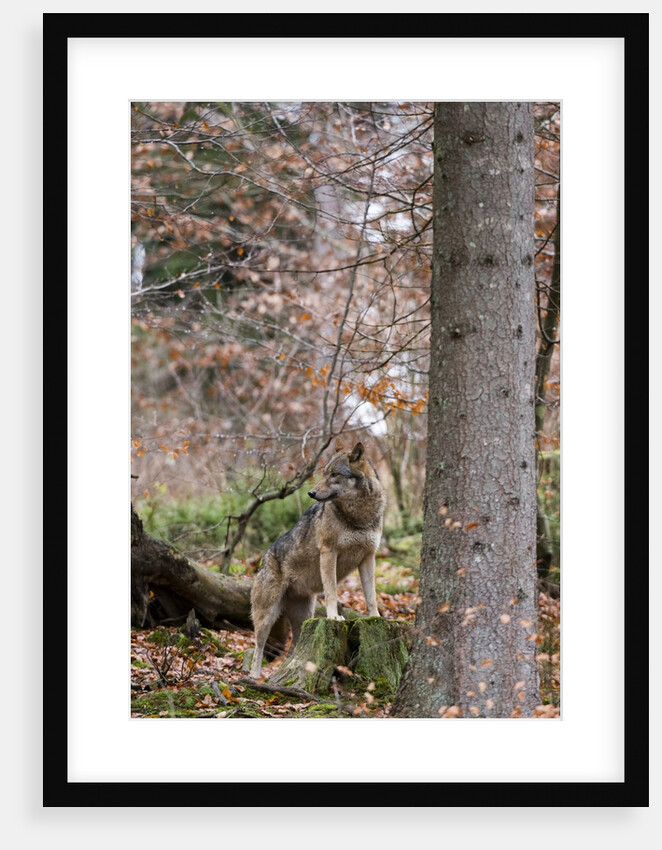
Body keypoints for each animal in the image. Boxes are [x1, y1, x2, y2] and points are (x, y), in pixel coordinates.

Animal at [249, 441, 386, 680]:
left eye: (334, 474)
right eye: (324, 473)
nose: (311, 493)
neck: (358, 516)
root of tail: (264, 558)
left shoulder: (368, 557)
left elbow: (371, 596)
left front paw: (375, 618)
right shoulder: (329, 552)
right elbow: (331, 592)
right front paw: (333, 617)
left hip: (304, 617)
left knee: (293, 649)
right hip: (267, 616)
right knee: (258, 646)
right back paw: (254, 677)